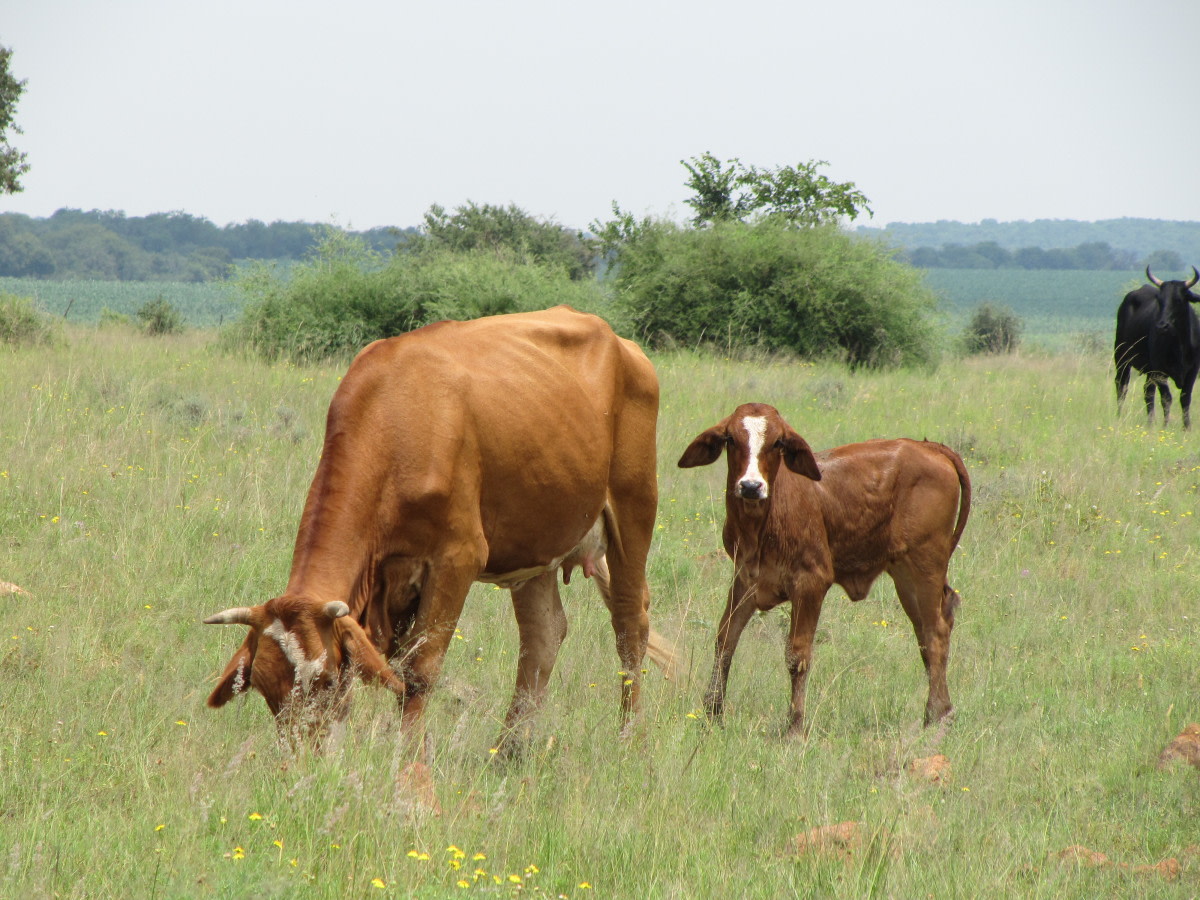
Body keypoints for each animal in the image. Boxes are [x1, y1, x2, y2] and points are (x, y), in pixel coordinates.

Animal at [203, 306, 673, 755]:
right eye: (265, 688)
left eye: (326, 680)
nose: (302, 764)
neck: (395, 421)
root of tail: (623, 343)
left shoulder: (457, 559)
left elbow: (418, 673)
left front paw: (412, 762)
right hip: (536, 541)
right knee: (543, 637)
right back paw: (508, 752)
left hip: (634, 506)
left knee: (629, 625)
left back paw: (630, 740)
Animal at [678, 403, 970, 736]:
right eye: (730, 439)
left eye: (777, 442)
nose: (751, 486)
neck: (762, 524)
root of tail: (929, 447)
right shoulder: (744, 580)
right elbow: (725, 641)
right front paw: (712, 714)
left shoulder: (810, 584)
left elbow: (797, 655)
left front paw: (794, 726)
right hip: (906, 578)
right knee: (926, 632)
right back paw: (938, 712)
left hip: (926, 566)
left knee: (936, 633)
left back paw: (937, 714)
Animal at [1114, 266, 1200, 429]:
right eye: (1160, 300)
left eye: (1178, 300)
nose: (1161, 326)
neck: (1180, 345)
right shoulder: (1160, 371)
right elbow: (1167, 398)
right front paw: (1165, 426)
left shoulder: (1193, 370)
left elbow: (1185, 398)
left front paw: (1187, 427)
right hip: (1122, 359)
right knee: (1122, 386)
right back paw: (1120, 416)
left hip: (1148, 370)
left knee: (1148, 392)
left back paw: (1150, 422)